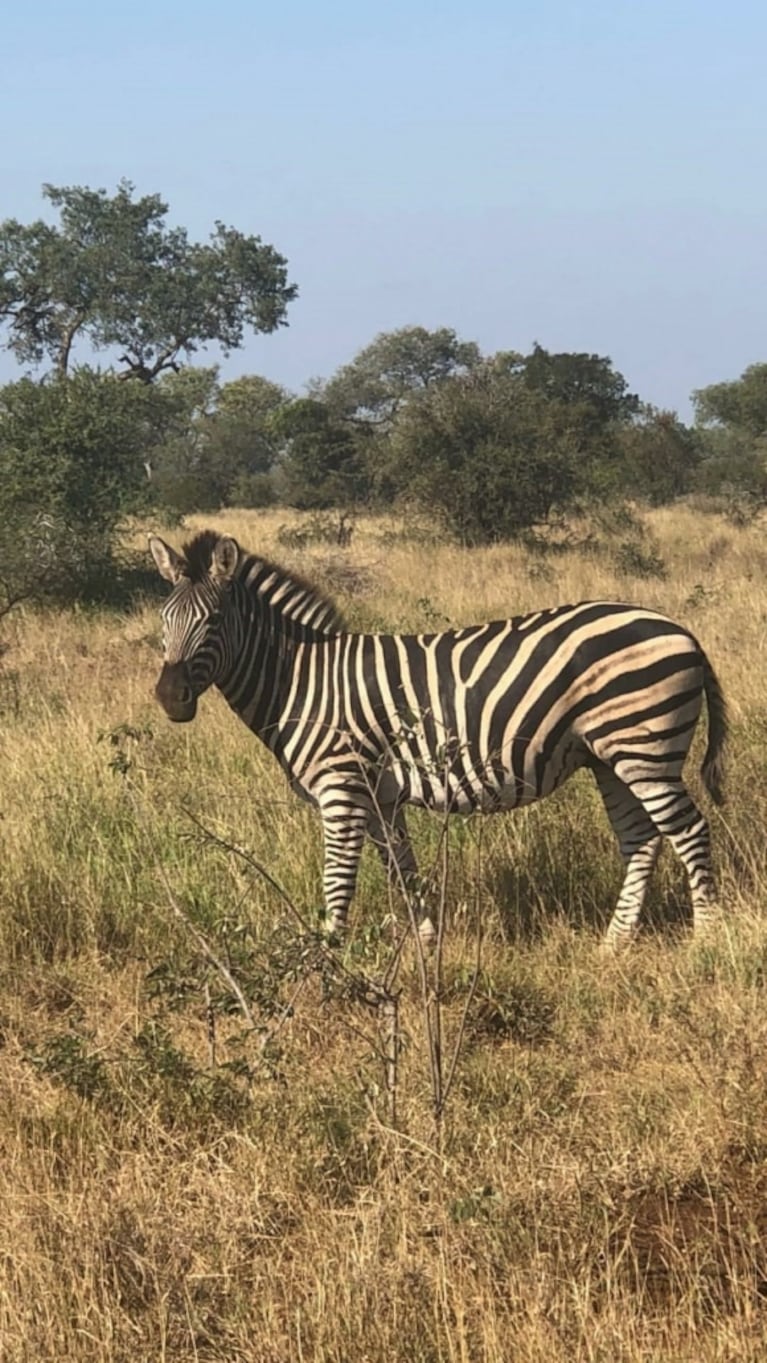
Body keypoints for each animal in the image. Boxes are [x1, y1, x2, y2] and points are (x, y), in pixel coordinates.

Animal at [147, 528, 730, 948]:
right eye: (163, 619)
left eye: (214, 620)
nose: (170, 697)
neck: (302, 680)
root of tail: (681, 629)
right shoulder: (380, 798)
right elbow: (402, 870)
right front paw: (427, 942)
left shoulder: (342, 787)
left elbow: (338, 876)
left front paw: (328, 957)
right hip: (609, 757)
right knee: (641, 840)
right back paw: (614, 944)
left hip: (644, 749)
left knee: (688, 830)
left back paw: (705, 939)